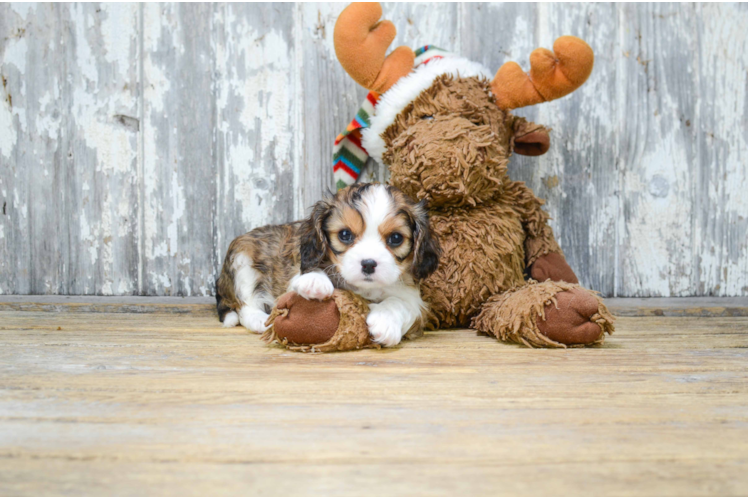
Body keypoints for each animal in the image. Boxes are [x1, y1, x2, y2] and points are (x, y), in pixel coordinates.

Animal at [215, 182, 438, 346]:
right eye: (345, 234)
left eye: (395, 238)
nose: (368, 264)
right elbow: (309, 272)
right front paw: (315, 281)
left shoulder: (416, 303)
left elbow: (400, 303)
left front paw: (385, 322)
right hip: (241, 258)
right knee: (244, 306)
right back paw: (260, 320)